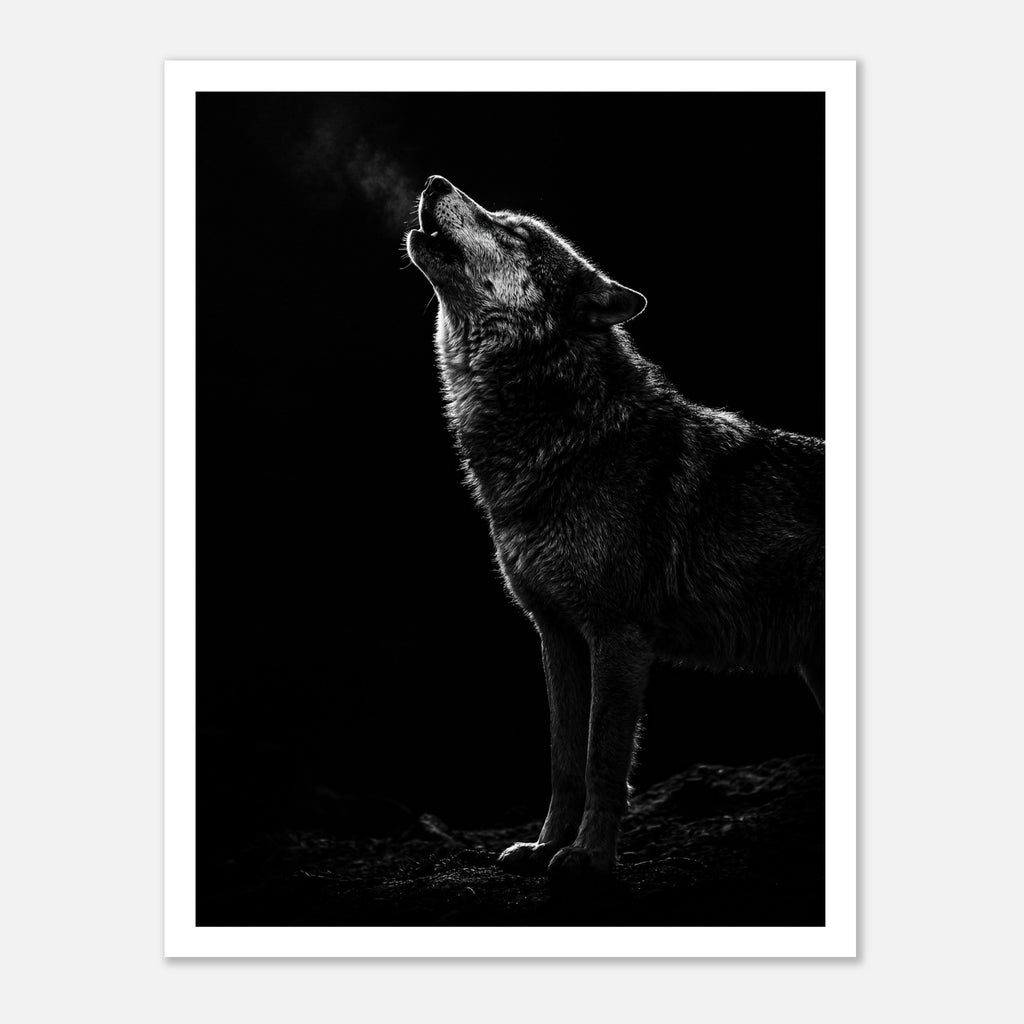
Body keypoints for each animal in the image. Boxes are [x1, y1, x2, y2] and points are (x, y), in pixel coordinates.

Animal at [406, 176, 824, 880]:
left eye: (512, 231)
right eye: (501, 217)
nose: (436, 181)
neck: (569, 440)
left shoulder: (619, 636)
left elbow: (604, 758)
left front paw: (590, 858)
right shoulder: (556, 636)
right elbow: (563, 759)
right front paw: (545, 846)